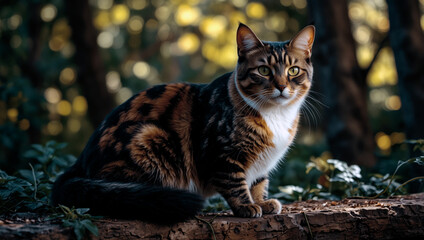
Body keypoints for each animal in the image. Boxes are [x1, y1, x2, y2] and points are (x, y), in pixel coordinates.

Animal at [51, 22, 314, 225]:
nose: (281, 86)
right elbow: (235, 183)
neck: (275, 115)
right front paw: (247, 206)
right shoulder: (222, 155)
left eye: (293, 70)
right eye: (263, 70)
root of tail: (80, 162)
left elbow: (259, 182)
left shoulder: (261, 164)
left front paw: (261, 202)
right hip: (150, 138)